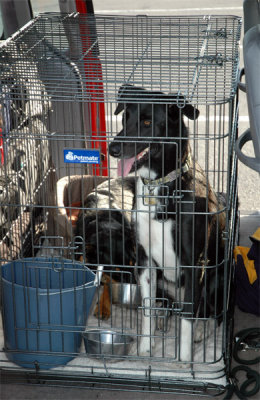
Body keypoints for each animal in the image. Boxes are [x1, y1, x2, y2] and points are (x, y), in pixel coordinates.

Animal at [107, 83, 225, 360]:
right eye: (125, 117)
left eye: (147, 122)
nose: (112, 150)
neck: (159, 185)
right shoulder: (144, 260)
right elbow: (147, 310)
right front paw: (145, 349)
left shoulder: (194, 264)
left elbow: (188, 317)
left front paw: (183, 360)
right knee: (168, 307)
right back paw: (163, 319)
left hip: (217, 279)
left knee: (210, 314)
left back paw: (201, 331)